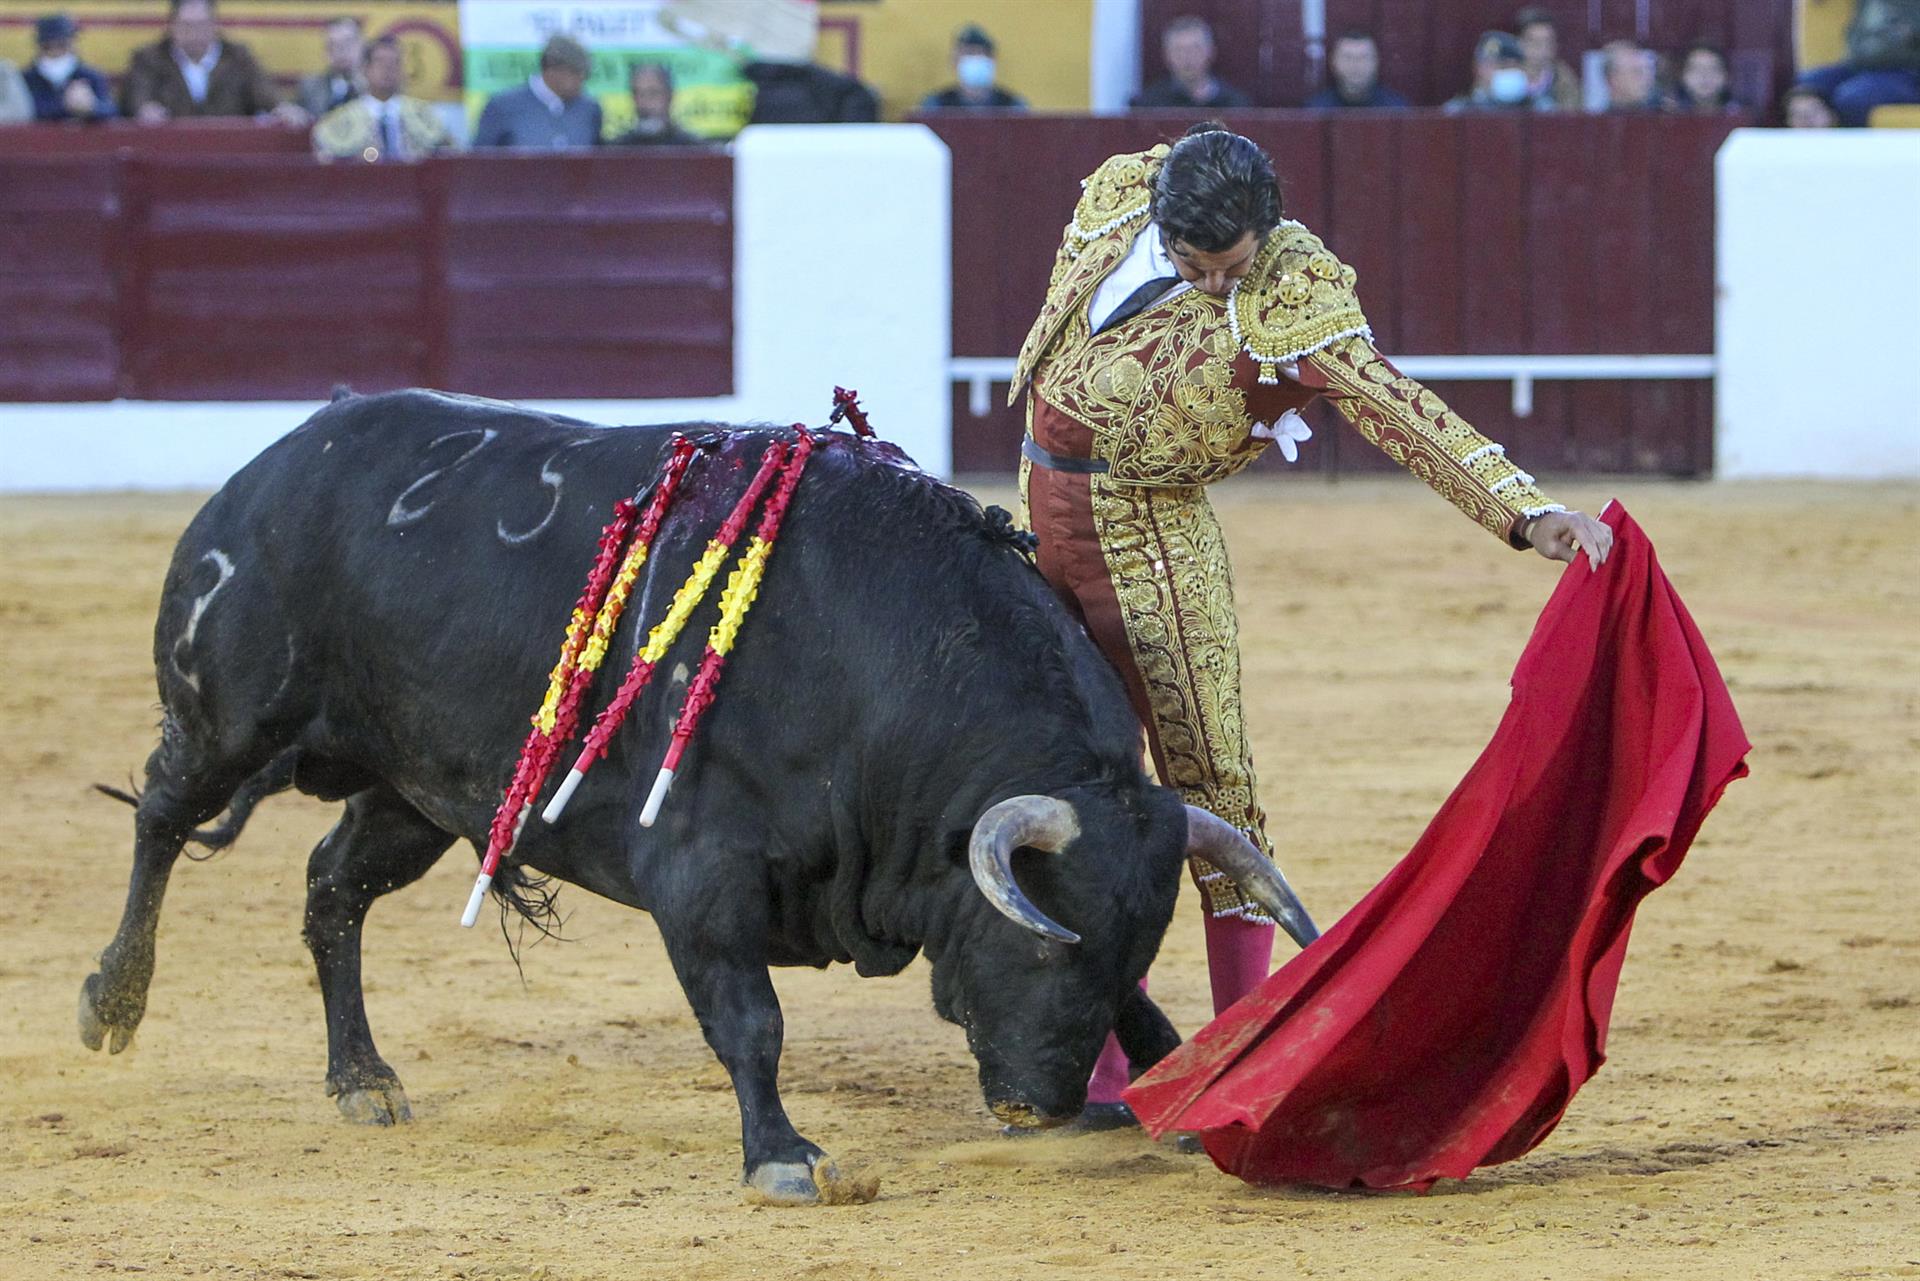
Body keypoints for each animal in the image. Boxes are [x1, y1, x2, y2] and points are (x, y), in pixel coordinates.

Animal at [86, 387, 1320, 1206]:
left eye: (1126, 944)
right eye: (1036, 943)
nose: (1043, 1106)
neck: (875, 663)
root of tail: (285, 453)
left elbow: (1146, 1013)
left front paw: (1178, 1084)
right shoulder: (701, 875)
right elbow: (750, 1019)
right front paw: (784, 1156)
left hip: (418, 793)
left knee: (330, 889)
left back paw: (362, 1079)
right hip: (229, 718)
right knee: (159, 818)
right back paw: (113, 1002)